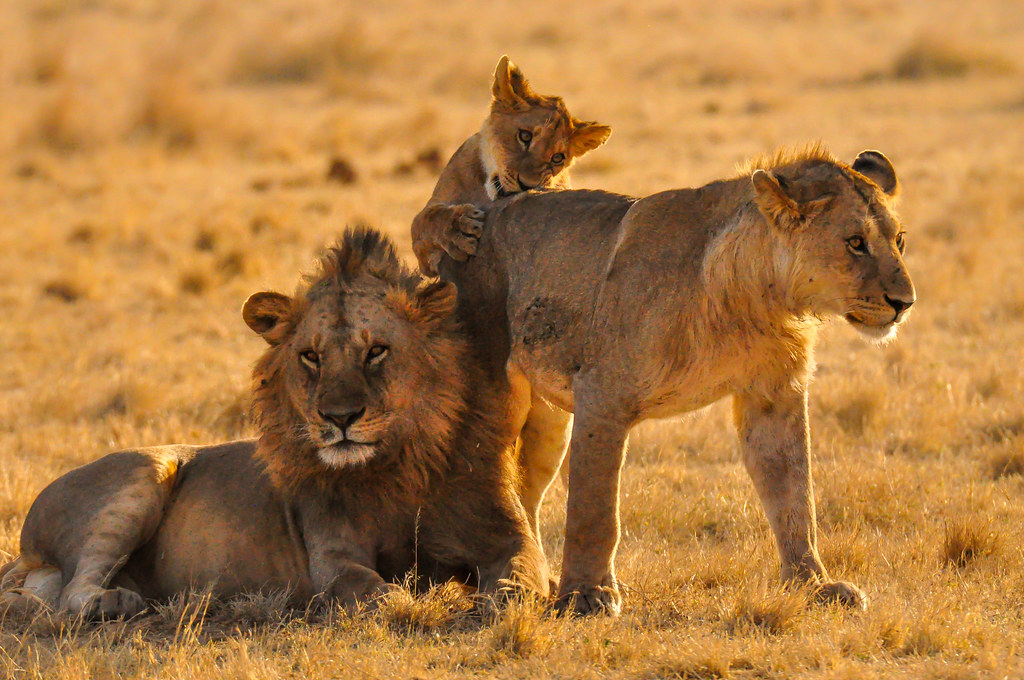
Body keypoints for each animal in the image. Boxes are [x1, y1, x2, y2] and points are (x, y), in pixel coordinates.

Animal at [0, 229, 548, 622]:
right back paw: (111, 603)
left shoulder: (508, 536)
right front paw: (410, 603)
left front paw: (506, 601)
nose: (339, 418)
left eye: (376, 351)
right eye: (311, 357)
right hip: (142, 474)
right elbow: (373, 590)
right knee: (72, 591)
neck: (398, 468)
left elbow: (524, 577)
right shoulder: (332, 557)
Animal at [411, 53, 610, 276]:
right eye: (525, 136)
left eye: (557, 158)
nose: (527, 185)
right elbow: (427, 220)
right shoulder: (425, 256)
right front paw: (459, 229)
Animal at [448, 146, 921, 614]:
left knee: (526, 490)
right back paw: (510, 584)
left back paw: (537, 578)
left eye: (899, 240)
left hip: (549, 422)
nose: (905, 303)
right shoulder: (601, 395)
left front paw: (814, 584)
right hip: (498, 395)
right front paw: (585, 594)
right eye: (855, 243)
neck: (759, 299)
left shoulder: (773, 395)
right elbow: (595, 509)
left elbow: (795, 496)